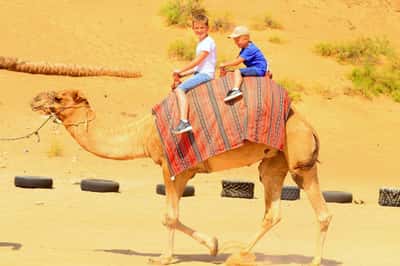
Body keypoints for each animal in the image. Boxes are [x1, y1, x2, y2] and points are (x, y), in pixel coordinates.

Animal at [30, 89, 332, 264]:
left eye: (58, 98)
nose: (34, 99)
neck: (144, 133)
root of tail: (310, 126)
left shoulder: (172, 167)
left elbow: (169, 216)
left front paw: (164, 257)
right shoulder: (184, 171)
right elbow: (173, 216)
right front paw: (213, 245)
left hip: (300, 160)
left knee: (322, 211)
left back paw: (313, 261)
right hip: (274, 161)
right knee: (273, 211)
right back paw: (239, 254)